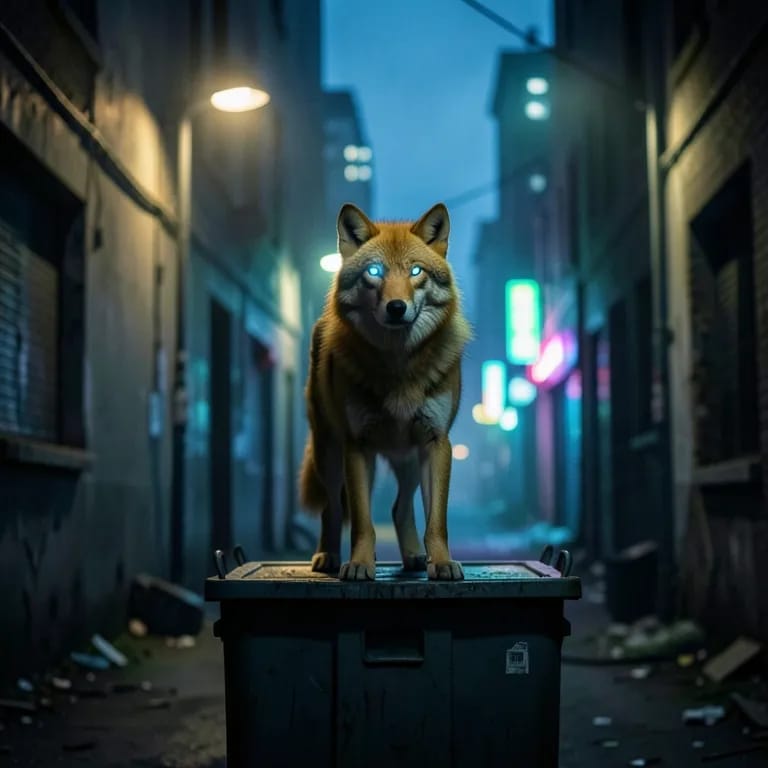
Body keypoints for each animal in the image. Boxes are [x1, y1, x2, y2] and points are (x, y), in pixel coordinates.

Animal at [299, 202, 472, 581]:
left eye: (416, 271)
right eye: (374, 271)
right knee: (332, 508)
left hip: (408, 458)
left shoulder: (436, 443)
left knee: (398, 507)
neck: (399, 366)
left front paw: (442, 562)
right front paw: (360, 564)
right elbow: (362, 523)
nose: (396, 307)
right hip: (329, 453)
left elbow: (436, 521)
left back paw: (414, 557)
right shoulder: (357, 445)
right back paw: (328, 556)